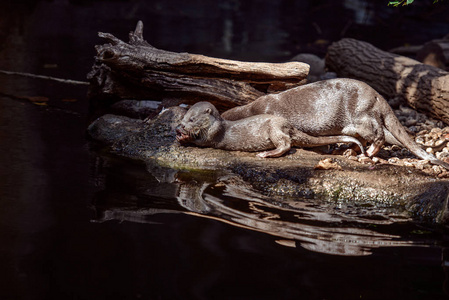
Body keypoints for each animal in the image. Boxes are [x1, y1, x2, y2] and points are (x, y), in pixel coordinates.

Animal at [175, 101, 364, 158]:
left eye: (192, 119)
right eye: (183, 117)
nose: (181, 126)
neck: (216, 124)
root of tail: (289, 125)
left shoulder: (213, 134)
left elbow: (202, 142)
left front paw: (184, 137)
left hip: (274, 128)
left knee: (286, 144)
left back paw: (266, 154)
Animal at [221, 78, 449, 170]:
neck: (252, 110)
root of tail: (376, 95)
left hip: (361, 116)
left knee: (378, 134)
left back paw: (368, 152)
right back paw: (347, 150)